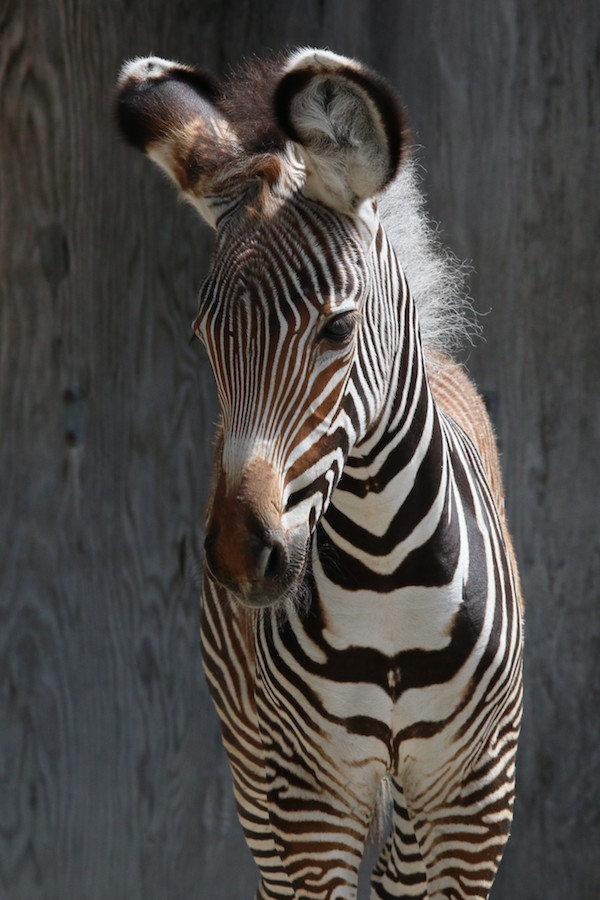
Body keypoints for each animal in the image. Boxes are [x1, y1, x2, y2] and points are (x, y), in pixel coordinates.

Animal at [115, 49, 524, 900]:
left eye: (337, 328)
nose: (242, 555)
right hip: (253, 759)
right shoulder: (307, 795)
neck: (387, 581)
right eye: (204, 337)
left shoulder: (475, 801)